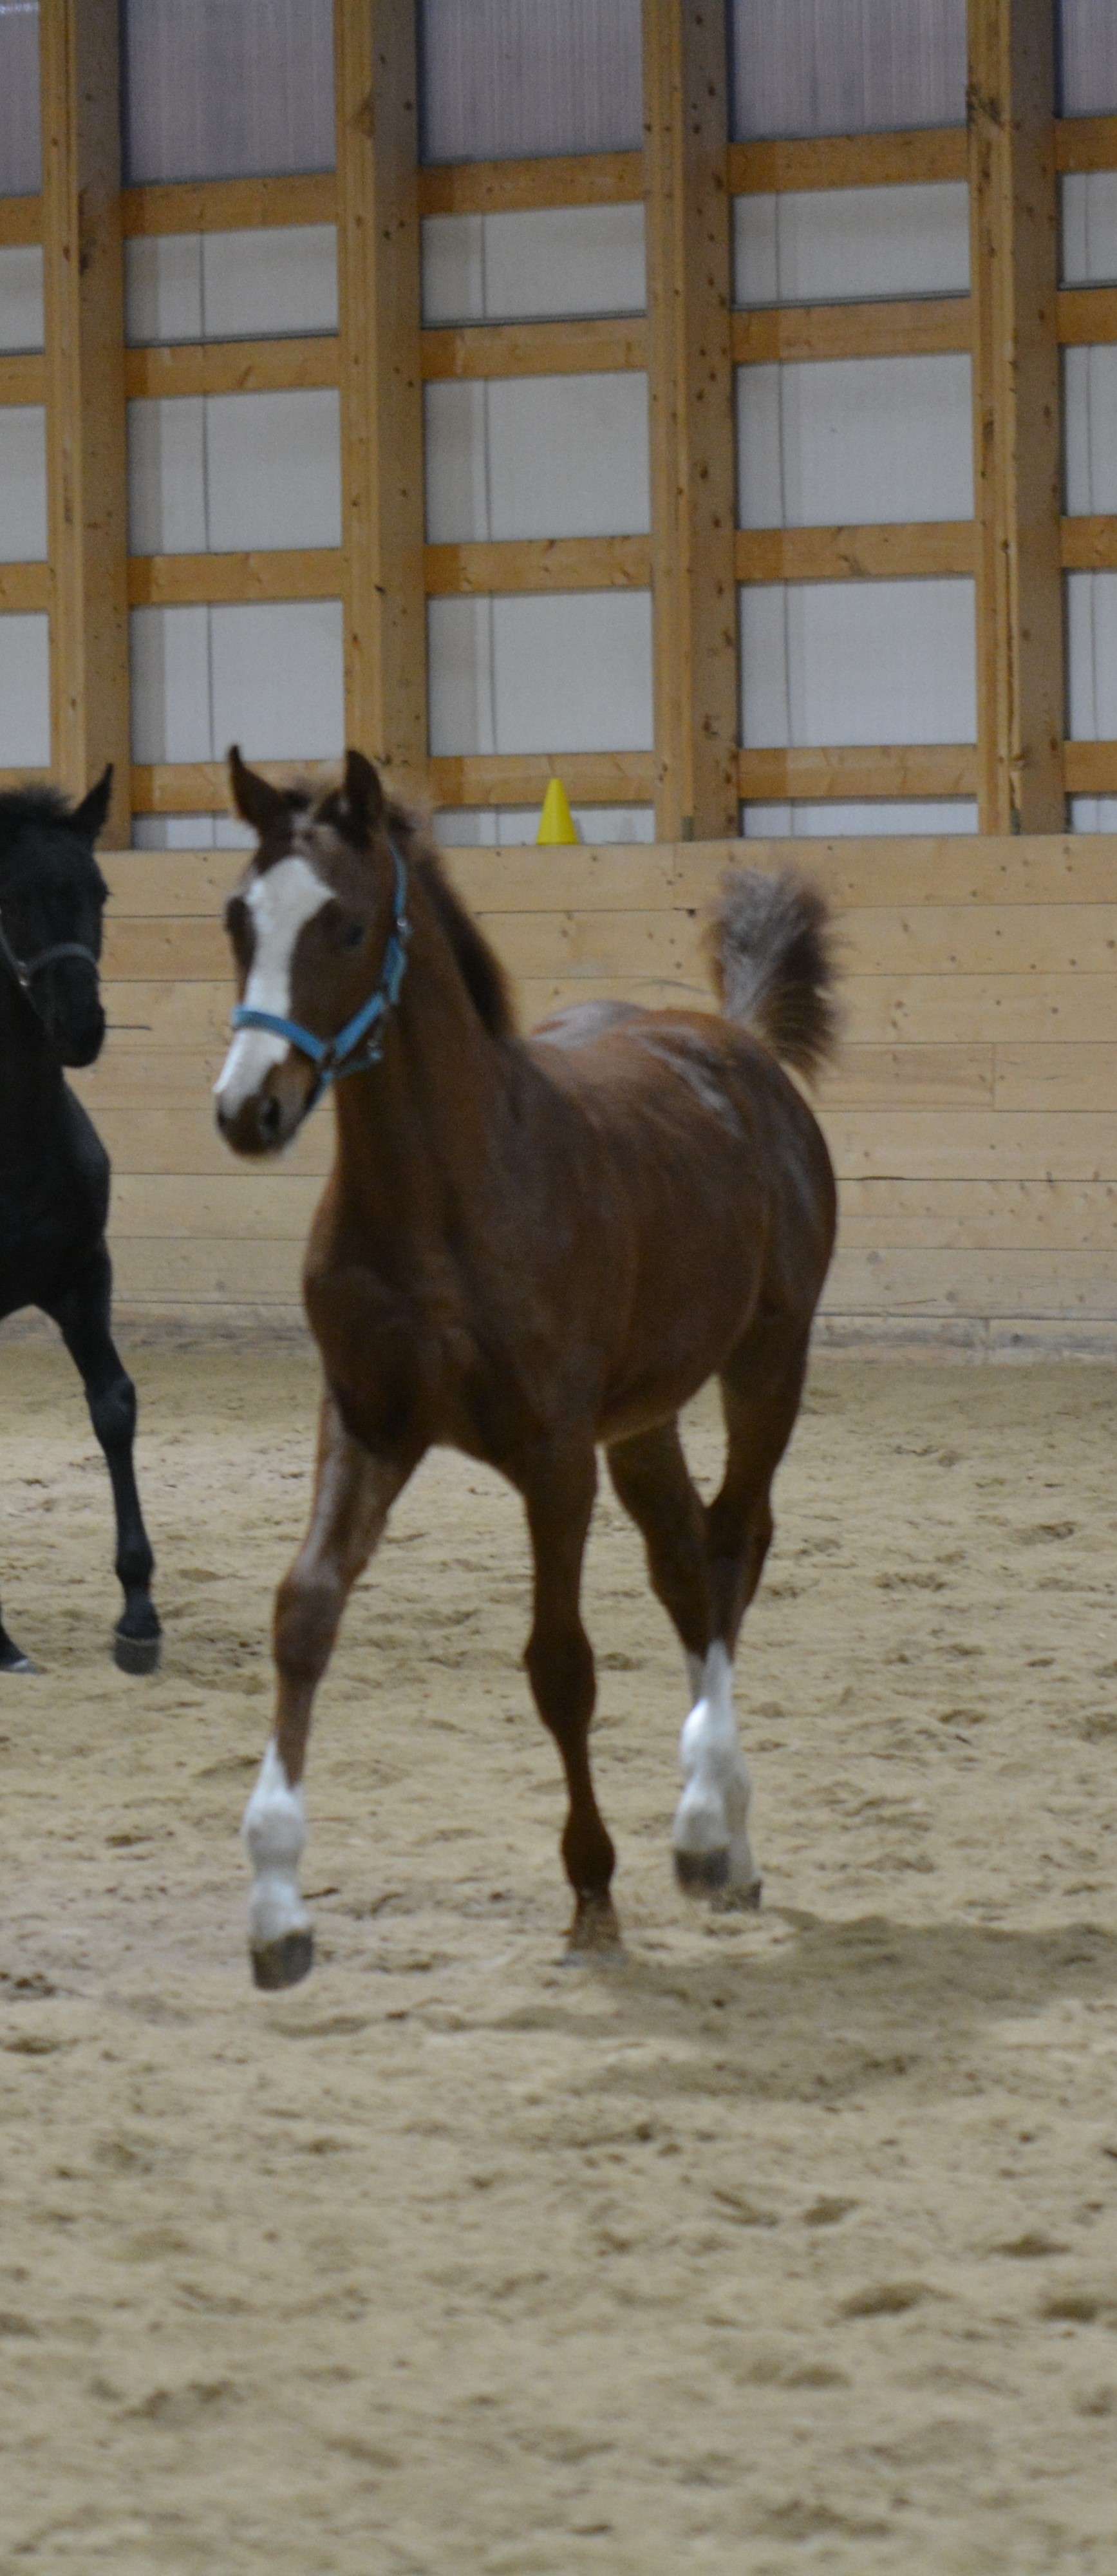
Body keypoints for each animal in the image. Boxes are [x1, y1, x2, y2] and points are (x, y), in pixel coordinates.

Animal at [215, 747, 837, 1989]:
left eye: (346, 925)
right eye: (237, 919)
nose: (248, 1109)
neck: (443, 1197)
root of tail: (736, 1043)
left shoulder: (553, 1457)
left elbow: (560, 1665)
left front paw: (593, 1892)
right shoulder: (364, 1420)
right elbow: (304, 1616)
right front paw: (277, 1913)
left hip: (765, 1363)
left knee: (734, 1546)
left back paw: (711, 1832)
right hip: (642, 1417)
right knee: (686, 1564)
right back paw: (724, 1840)